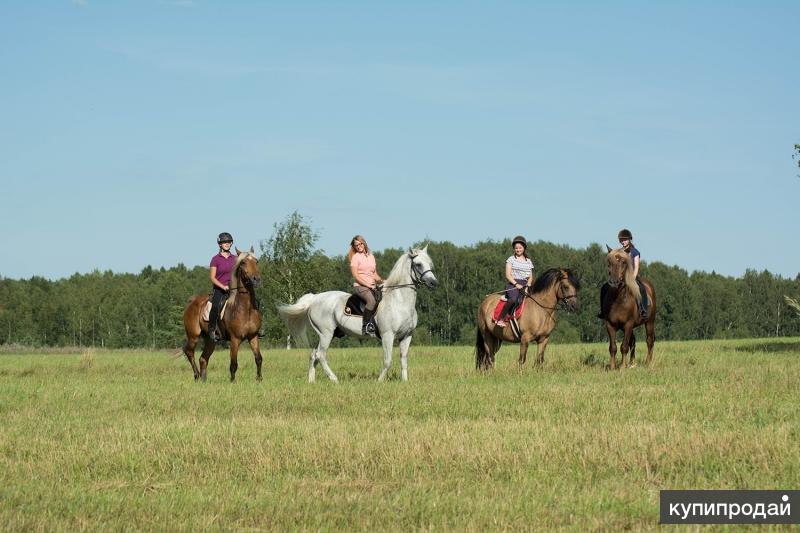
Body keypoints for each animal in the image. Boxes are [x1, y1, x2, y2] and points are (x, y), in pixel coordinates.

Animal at [181, 247, 262, 380]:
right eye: (243, 262)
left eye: (256, 261)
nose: (256, 279)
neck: (245, 309)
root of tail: (192, 302)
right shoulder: (235, 339)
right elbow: (233, 364)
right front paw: (233, 382)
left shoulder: (253, 336)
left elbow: (258, 358)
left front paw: (259, 380)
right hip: (193, 336)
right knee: (189, 351)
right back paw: (197, 375)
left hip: (210, 339)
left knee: (203, 358)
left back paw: (204, 380)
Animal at [276, 246, 438, 382]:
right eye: (418, 264)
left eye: (430, 264)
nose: (434, 283)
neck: (399, 300)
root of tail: (314, 299)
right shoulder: (388, 335)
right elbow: (387, 361)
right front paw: (379, 382)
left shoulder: (406, 336)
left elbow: (403, 359)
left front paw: (405, 382)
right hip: (326, 333)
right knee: (321, 355)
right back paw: (334, 379)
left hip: (328, 334)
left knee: (313, 354)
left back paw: (312, 381)